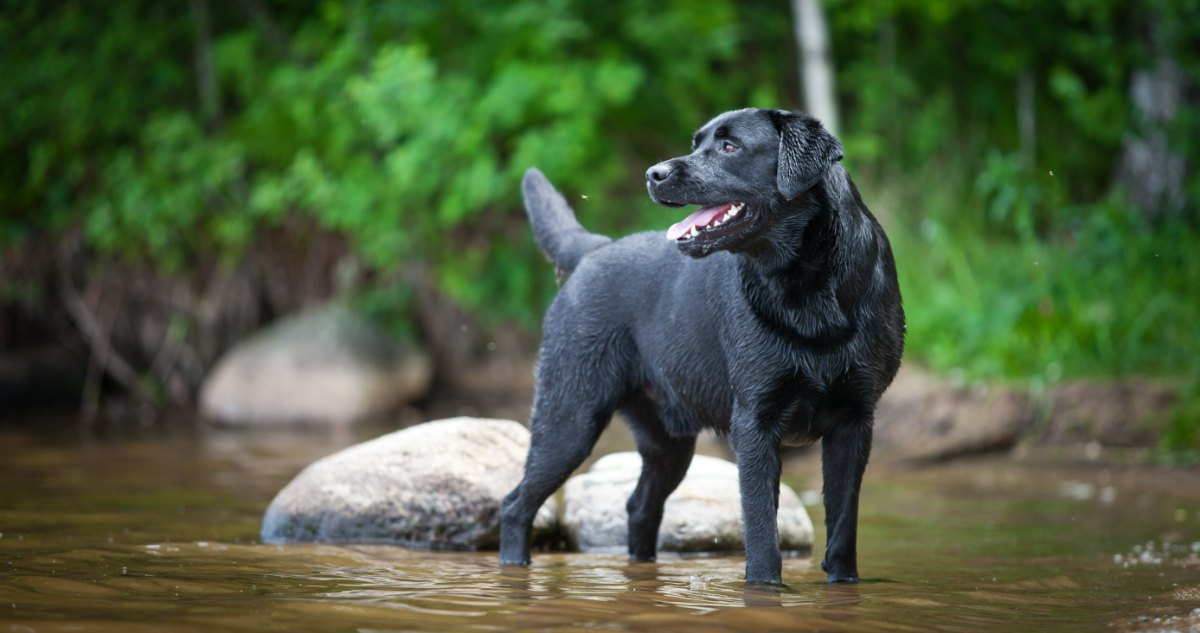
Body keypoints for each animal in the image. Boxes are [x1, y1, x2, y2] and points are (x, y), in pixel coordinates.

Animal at [501, 109, 902, 582]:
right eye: (696, 144)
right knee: (515, 504)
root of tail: (592, 250)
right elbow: (762, 531)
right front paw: (765, 587)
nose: (653, 174)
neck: (808, 290)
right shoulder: (755, 423)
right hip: (570, 419)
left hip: (667, 445)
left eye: (730, 147)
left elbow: (842, 528)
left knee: (639, 507)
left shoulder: (855, 420)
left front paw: (842, 584)